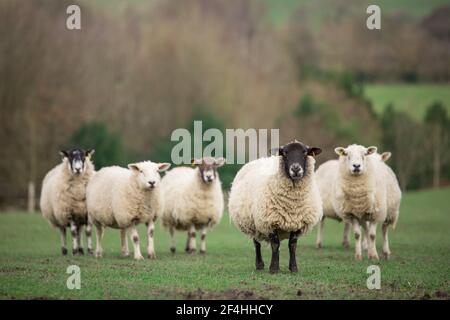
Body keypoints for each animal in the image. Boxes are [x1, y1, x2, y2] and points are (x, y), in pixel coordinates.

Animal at [229, 141, 324, 274]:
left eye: (305, 152)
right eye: (285, 153)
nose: (295, 168)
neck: (292, 203)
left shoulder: (298, 222)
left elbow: (292, 245)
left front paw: (293, 268)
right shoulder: (270, 221)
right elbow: (275, 244)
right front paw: (273, 269)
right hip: (254, 222)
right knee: (256, 243)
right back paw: (259, 265)